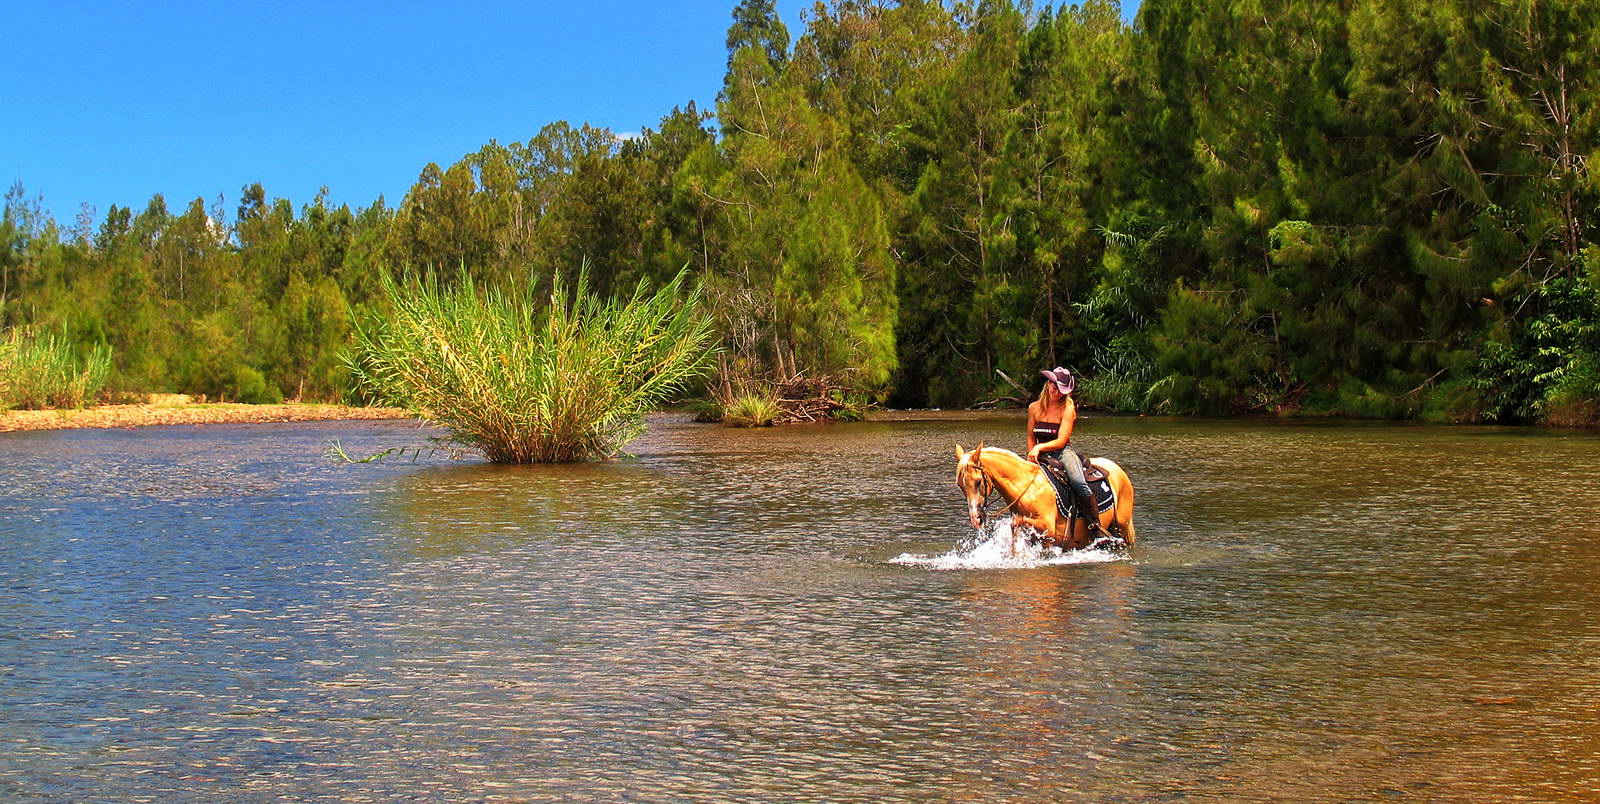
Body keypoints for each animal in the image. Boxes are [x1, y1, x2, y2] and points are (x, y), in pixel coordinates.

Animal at [947, 442, 1139, 550]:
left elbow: (1016, 522)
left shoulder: (1048, 529)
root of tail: (1116, 468)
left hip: (1124, 526)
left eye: (978, 481)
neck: (1027, 488)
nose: (976, 519)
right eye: (960, 485)